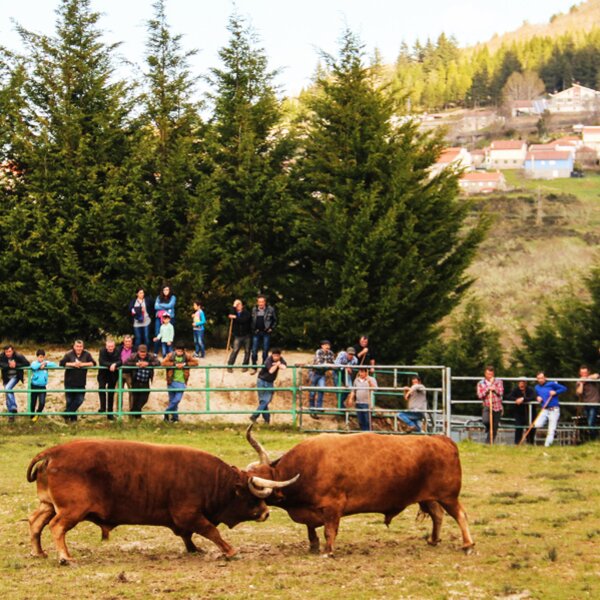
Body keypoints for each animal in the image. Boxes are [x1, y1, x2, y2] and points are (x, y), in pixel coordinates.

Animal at [26, 439, 298, 564]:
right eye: (252, 496)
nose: (266, 513)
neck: (214, 480)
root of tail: (54, 452)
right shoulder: (189, 514)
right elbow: (211, 530)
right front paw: (229, 550)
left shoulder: (184, 519)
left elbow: (188, 535)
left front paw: (194, 549)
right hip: (71, 511)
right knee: (56, 526)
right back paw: (65, 557)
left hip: (48, 505)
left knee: (36, 522)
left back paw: (38, 552)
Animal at [245, 425, 474, 556]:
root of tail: (442, 439)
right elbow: (311, 529)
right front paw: (313, 546)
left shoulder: (333, 507)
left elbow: (330, 530)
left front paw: (328, 551)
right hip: (429, 497)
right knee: (438, 515)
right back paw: (433, 540)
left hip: (448, 496)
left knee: (460, 515)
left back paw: (468, 545)